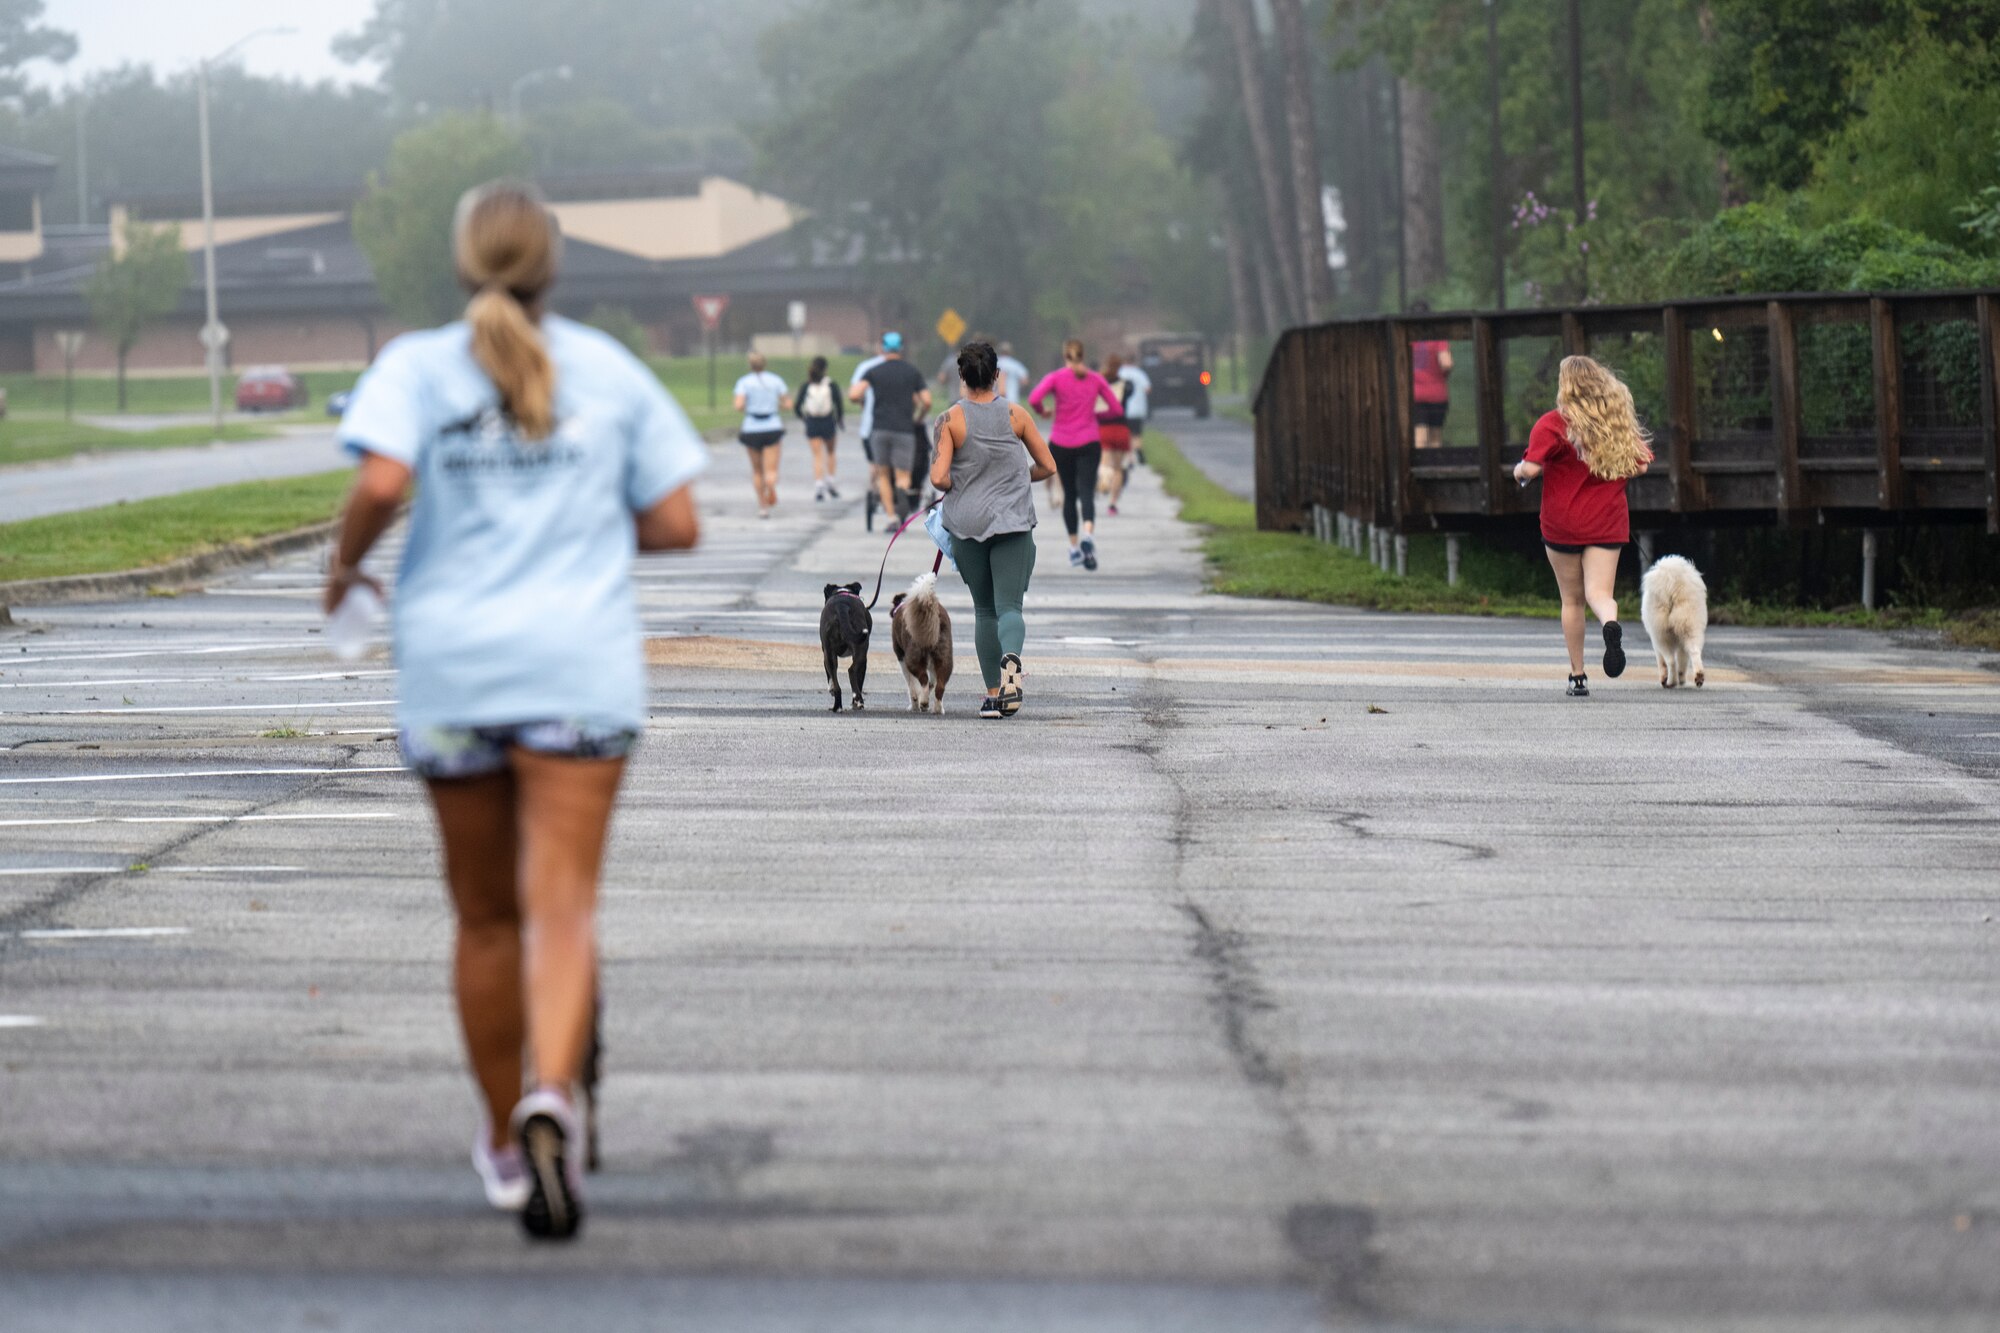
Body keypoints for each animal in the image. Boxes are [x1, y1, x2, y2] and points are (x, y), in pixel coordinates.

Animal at [820, 580, 868, 712]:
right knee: (852, 671)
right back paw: (858, 701)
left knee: (837, 682)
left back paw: (837, 707)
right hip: (861, 648)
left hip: (829, 653)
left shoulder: (826, 653)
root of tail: (842, 606)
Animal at [892, 572, 952, 716]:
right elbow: (932, 683)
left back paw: (924, 702)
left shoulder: (901, 657)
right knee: (940, 685)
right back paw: (938, 709)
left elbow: (912, 686)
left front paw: (914, 705)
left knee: (923, 679)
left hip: (913, 654)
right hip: (944, 655)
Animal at [1640, 556, 1704, 688]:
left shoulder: (1655, 642)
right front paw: (1682, 678)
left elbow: (1661, 662)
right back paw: (1698, 676)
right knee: (1694, 651)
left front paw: (1664, 678)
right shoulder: (1681, 643)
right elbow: (1682, 660)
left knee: (1670, 661)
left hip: (1661, 635)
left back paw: (1671, 682)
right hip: (1690, 625)